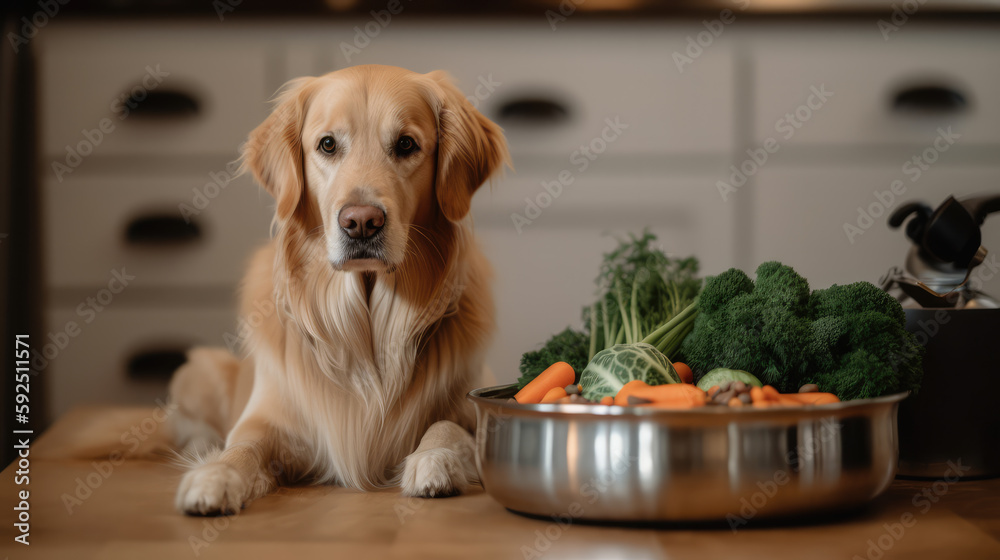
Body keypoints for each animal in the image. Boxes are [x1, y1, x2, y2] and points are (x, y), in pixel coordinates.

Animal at [170, 65, 508, 516]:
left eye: (406, 144)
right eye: (327, 144)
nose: (361, 222)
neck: (365, 326)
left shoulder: (471, 397)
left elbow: (447, 424)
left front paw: (433, 460)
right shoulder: (265, 419)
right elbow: (241, 448)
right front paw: (214, 477)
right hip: (197, 370)